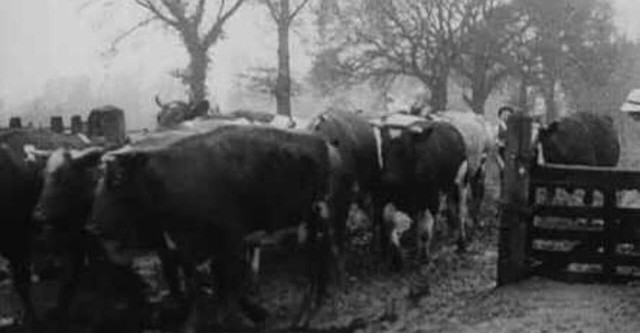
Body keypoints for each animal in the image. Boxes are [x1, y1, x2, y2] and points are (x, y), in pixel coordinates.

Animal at [87, 124, 342, 330]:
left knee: (317, 265)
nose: (94, 228)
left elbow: (226, 287)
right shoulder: (185, 248)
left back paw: (306, 317)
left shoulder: (229, 242)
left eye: (118, 177)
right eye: (98, 180)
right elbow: (198, 285)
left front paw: (236, 321)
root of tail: (325, 143)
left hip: (317, 222)